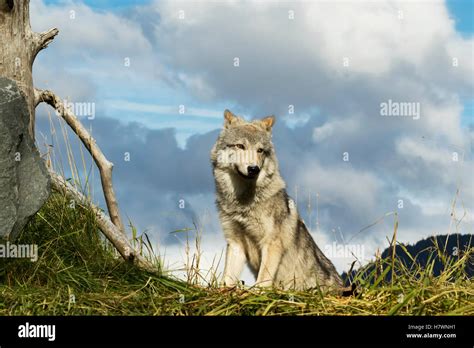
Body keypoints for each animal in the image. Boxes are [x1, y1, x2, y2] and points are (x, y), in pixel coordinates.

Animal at [210, 110, 340, 290]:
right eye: (240, 146)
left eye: (260, 150)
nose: (254, 169)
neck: (243, 201)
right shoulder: (235, 243)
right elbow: (227, 278)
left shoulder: (272, 243)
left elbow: (263, 279)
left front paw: (257, 293)